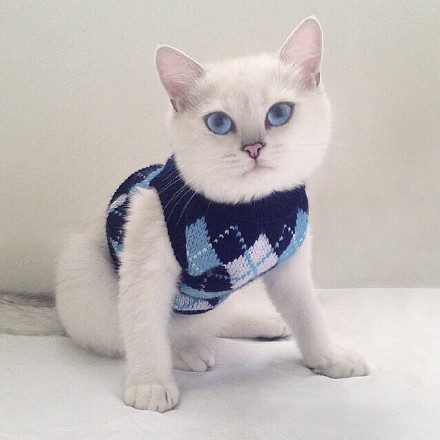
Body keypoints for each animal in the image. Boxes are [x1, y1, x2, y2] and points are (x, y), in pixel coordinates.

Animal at [55, 16, 369, 412]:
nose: (253, 147)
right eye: (219, 123)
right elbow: (144, 328)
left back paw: (262, 323)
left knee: (214, 320)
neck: (249, 209)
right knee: (145, 333)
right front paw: (150, 384)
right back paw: (185, 353)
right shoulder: (146, 259)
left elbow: (309, 315)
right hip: (87, 283)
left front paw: (328, 358)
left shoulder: (291, 268)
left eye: (279, 113)